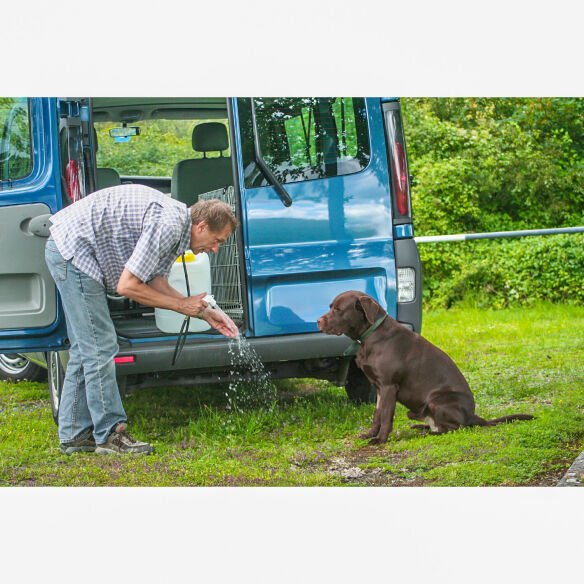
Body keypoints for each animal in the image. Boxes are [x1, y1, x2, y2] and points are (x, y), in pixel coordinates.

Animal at [318, 292, 532, 442]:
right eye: (330, 307)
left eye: (338, 310)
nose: (318, 321)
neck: (372, 335)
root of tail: (472, 415)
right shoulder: (378, 388)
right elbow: (377, 415)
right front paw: (370, 435)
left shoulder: (388, 386)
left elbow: (386, 417)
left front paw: (380, 440)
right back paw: (421, 428)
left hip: (437, 401)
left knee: (454, 428)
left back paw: (428, 433)